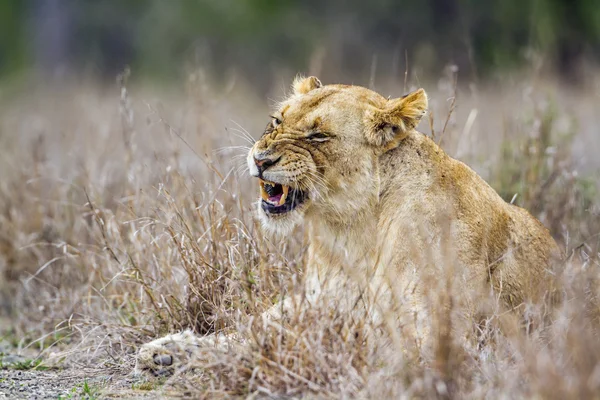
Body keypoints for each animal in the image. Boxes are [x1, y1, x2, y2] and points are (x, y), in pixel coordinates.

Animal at [136, 76, 556, 376]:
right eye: (277, 120)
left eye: (318, 135)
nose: (260, 159)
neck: (351, 225)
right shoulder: (316, 299)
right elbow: (252, 329)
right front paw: (170, 350)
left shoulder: (444, 335)